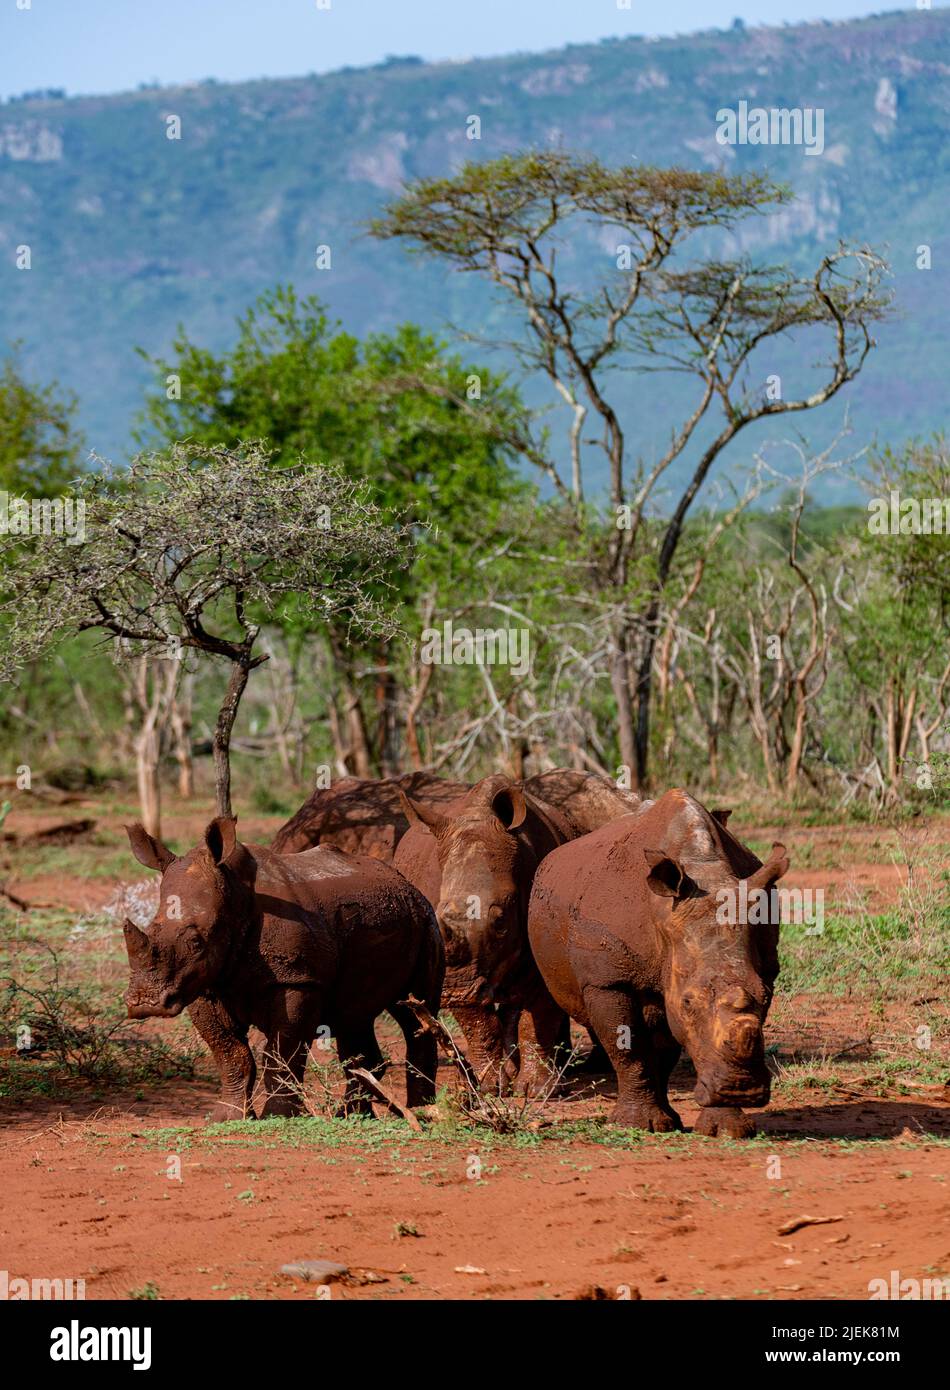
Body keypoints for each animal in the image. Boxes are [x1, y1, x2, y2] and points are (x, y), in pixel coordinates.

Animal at [121, 811, 445, 1117]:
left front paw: (279, 1115)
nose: (146, 1003)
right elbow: (229, 1053)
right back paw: (354, 1116)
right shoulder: (202, 984)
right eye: (149, 929)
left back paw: (422, 1112)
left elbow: (281, 1052)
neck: (234, 895)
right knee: (355, 1013)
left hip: (425, 918)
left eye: (196, 942)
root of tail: (403, 880)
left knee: (416, 1010)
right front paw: (226, 1117)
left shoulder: (297, 980)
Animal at [528, 789, 790, 1134]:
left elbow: (668, 1049)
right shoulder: (608, 981)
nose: (742, 1090)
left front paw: (725, 1127)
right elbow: (628, 1047)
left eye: (765, 996)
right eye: (689, 1003)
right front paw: (636, 1125)